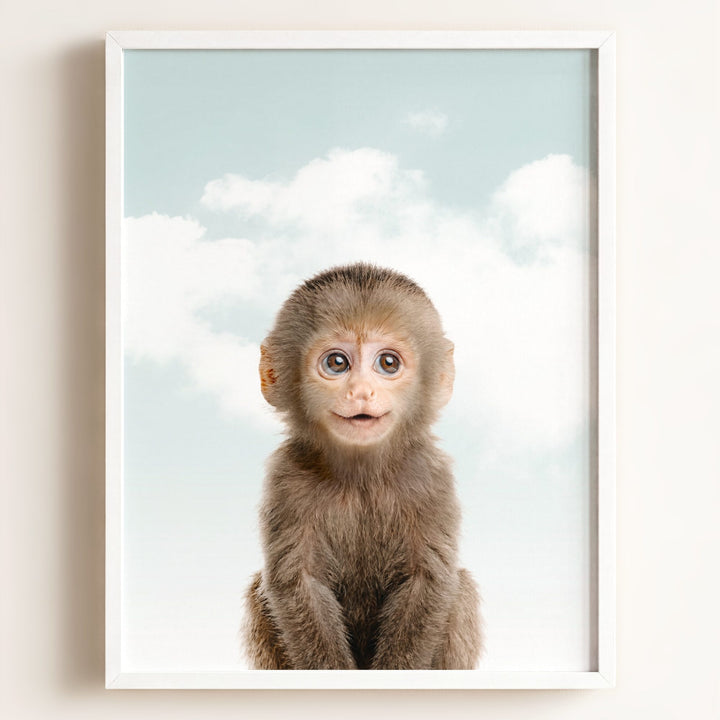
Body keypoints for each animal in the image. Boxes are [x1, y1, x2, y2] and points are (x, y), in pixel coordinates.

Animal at [243, 263, 482, 670]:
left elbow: (428, 580)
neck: (361, 477)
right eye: (337, 363)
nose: (361, 392)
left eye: (388, 363)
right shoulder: (286, 477)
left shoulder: (430, 476)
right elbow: (297, 582)